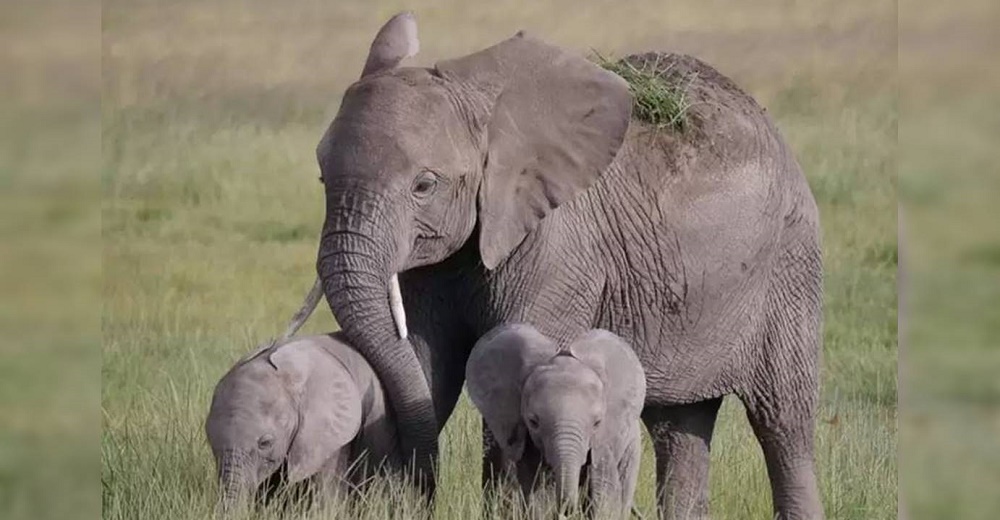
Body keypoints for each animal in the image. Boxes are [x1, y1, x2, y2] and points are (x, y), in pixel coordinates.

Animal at [464, 322, 644, 516]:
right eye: (533, 422)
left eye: (597, 423)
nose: (567, 509)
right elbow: (538, 495)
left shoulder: (604, 442)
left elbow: (603, 494)